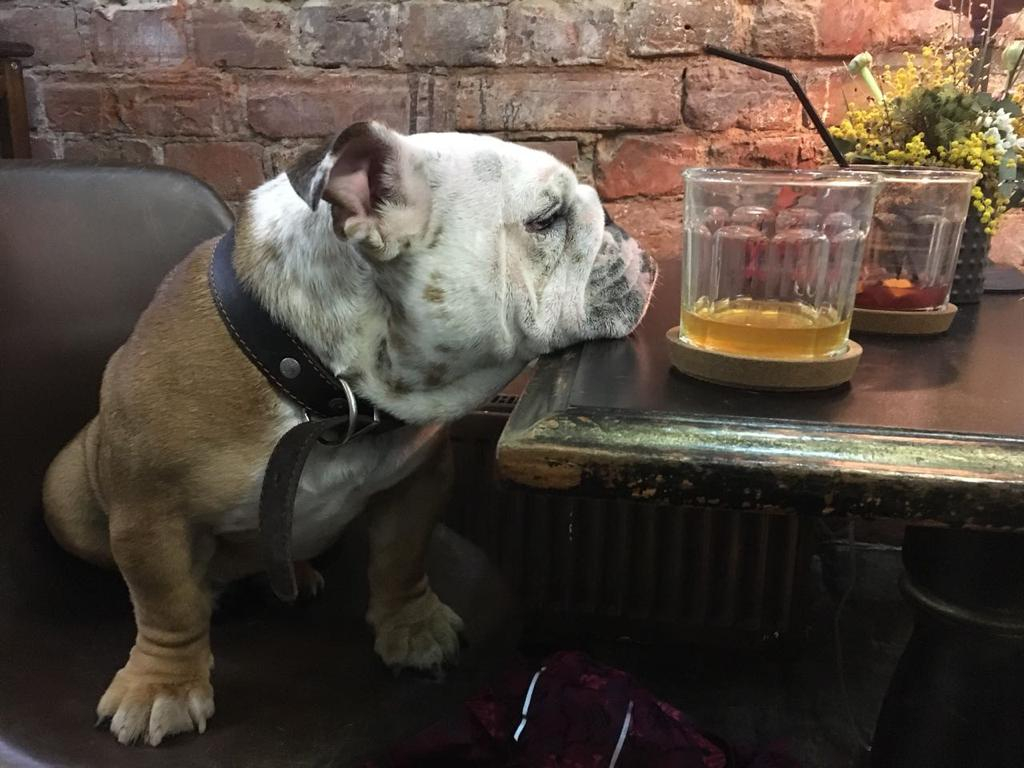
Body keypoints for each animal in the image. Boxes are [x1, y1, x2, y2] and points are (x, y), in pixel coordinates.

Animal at [42, 121, 657, 747]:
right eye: (546, 218)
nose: (621, 229)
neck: (326, 389)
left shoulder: (418, 477)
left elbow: (402, 559)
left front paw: (414, 630)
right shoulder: (151, 513)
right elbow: (168, 607)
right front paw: (161, 687)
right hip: (63, 494)